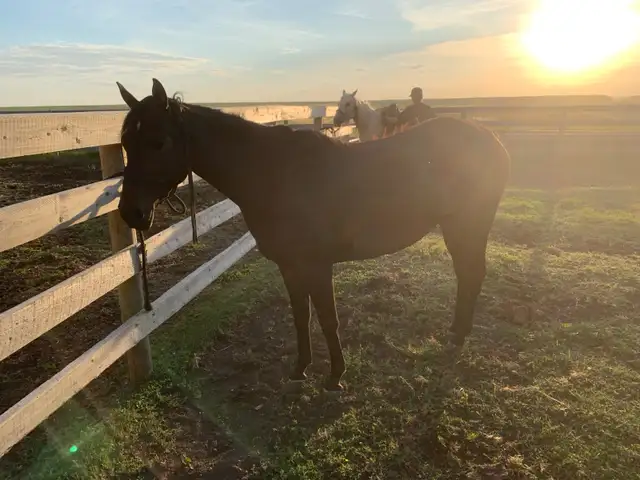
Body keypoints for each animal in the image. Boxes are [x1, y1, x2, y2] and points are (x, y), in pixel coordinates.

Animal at [115, 78, 511, 392]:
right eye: (126, 143)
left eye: (159, 142)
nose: (130, 212)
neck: (276, 173)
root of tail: (488, 138)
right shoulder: (290, 266)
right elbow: (300, 316)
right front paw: (301, 368)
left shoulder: (318, 265)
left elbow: (327, 318)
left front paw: (335, 376)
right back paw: (456, 333)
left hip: (468, 226)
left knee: (471, 275)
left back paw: (457, 338)